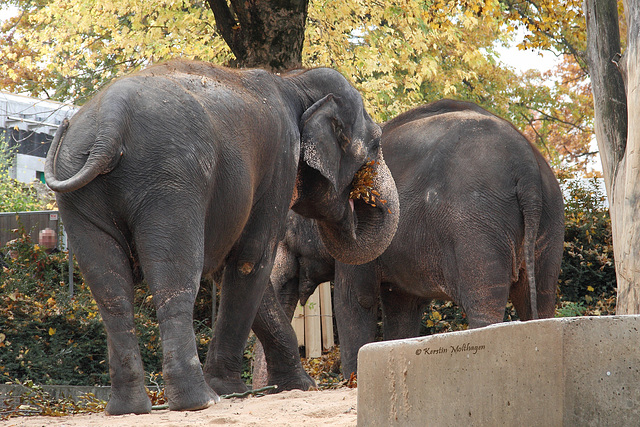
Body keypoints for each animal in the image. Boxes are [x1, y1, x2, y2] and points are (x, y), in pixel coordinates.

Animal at [45, 60, 398, 414]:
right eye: (376, 144)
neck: (294, 81)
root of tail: (110, 117)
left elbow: (235, 270)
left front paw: (298, 386)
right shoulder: (280, 163)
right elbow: (252, 260)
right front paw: (236, 390)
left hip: (79, 191)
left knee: (110, 292)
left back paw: (129, 408)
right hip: (171, 181)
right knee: (175, 279)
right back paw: (200, 401)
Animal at [272, 99, 564, 378]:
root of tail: (527, 168)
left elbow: (354, 301)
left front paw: (353, 380)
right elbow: (402, 308)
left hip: (477, 226)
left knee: (484, 303)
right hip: (549, 221)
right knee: (540, 297)